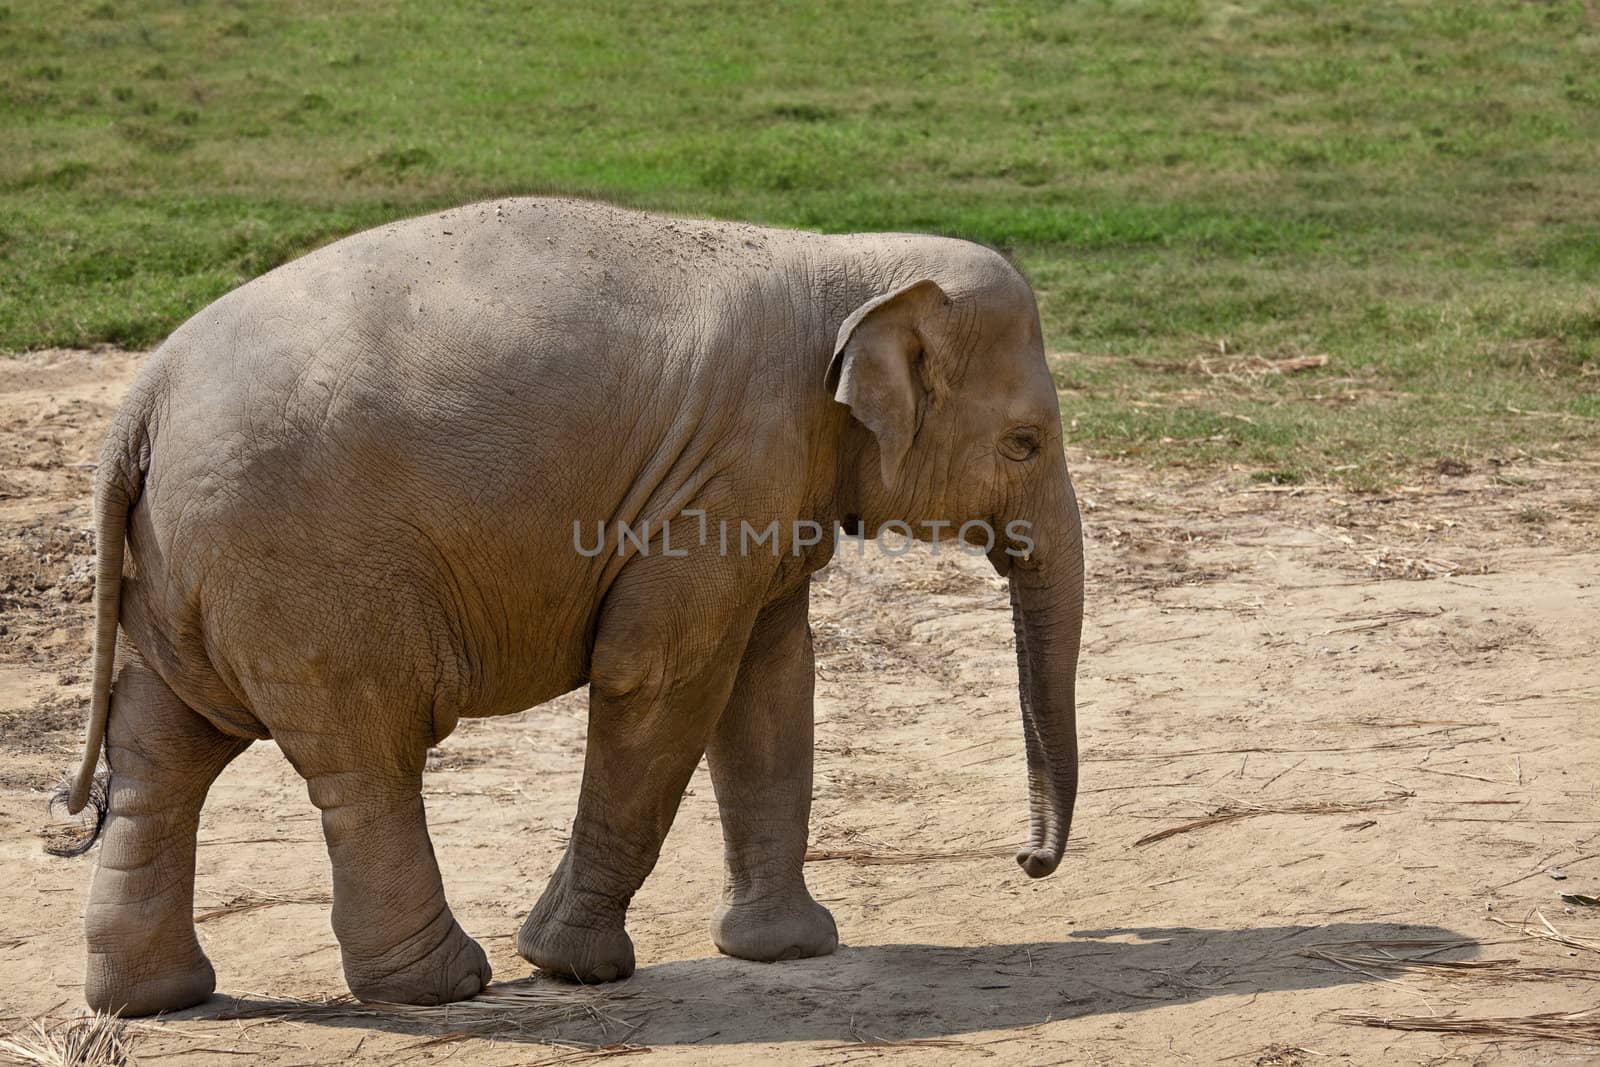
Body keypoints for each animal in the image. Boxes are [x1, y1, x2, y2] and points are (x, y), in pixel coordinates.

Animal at [59, 198, 1088, 1017]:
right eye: (1026, 442)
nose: (1027, 864)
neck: (842, 265)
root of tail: (143, 401)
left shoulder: (758, 484)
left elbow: (771, 680)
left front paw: (790, 949)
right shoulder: (729, 470)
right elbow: (661, 678)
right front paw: (573, 966)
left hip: (180, 574)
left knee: (162, 758)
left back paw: (155, 999)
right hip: (308, 574)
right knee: (366, 755)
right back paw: (445, 985)